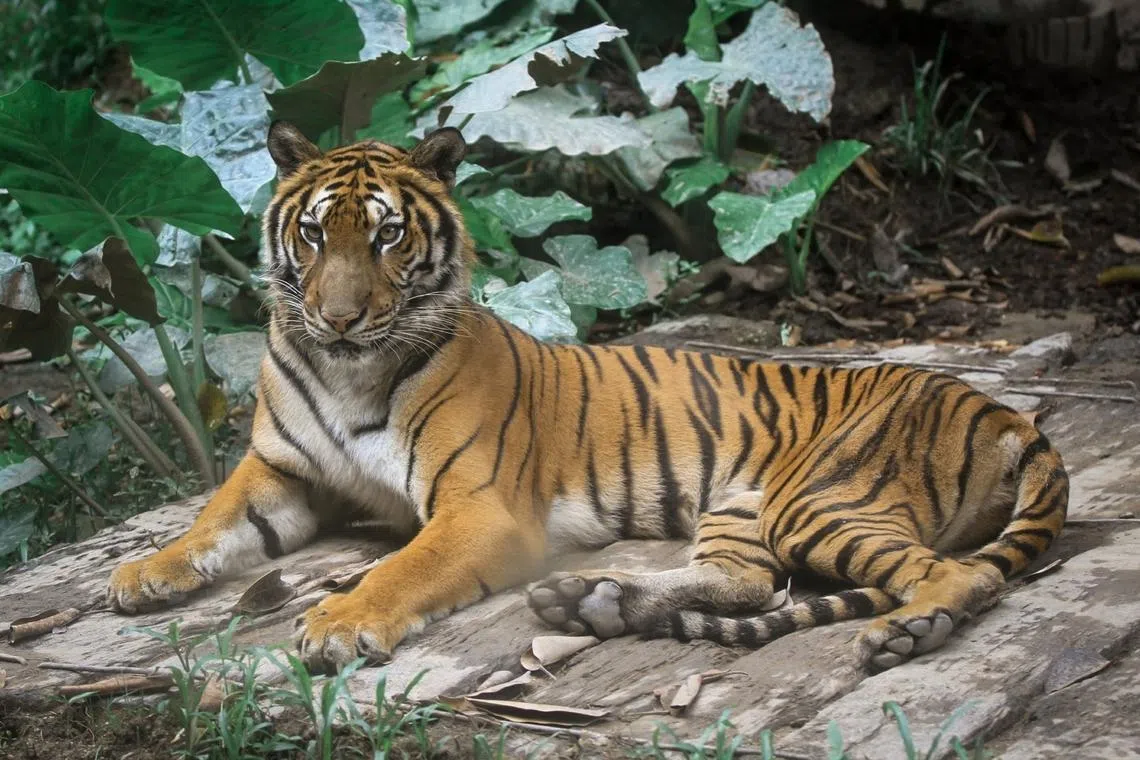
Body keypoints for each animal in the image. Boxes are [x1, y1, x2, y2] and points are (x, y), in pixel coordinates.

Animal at [107, 122, 1068, 674]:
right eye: (312, 234)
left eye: (386, 236)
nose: (338, 318)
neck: (351, 369)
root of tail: (1002, 410)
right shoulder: (279, 469)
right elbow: (212, 520)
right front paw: (144, 573)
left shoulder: (479, 507)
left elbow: (400, 565)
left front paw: (340, 622)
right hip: (744, 507)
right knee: (749, 583)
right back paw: (596, 600)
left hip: (820, 498)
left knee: (958, 574)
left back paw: (905, 633)